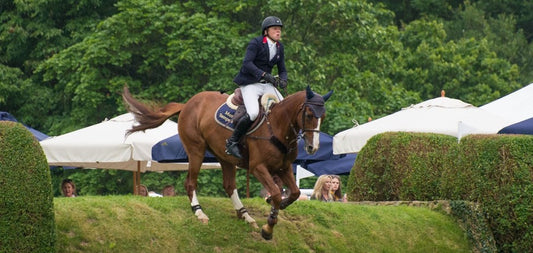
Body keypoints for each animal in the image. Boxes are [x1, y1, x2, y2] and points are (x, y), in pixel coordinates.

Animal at [122, 85, 330, 239]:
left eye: (323, 116)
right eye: (309, 115)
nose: (312, 148)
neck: (277, 127)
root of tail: (189, 103)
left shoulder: (283, 168)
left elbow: (294, 193)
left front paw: (274, 203)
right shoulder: (258, 168)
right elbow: (278, 194)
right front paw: (268, 228)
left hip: (225, 157)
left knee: (229, 186)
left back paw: (245, 215)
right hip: (196, 150)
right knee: (191, 182)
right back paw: (199, 213)